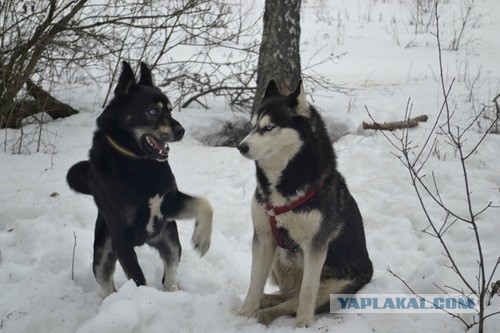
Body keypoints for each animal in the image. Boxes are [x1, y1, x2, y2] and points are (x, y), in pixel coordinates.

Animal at [67, 62, 213, 298]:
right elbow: (139, 279)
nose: (181, 130)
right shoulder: (122, 241)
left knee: (169, 276)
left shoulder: (169, 202)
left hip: (170, 239)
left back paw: (174, 293)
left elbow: (205, 203)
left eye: (170, 109)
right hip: (103, 253)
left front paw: (202, 238)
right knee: (105, 284)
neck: (139, 163)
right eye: (152, 111)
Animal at [236, 80, 374, 324]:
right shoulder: (263, 237)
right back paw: (264, 301)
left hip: (333, 285)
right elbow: (254, 282)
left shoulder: (315, 246)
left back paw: (267, 314)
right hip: (278, 257)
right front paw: (244, 314)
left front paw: (303, 324)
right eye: (251, 126)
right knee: (286, 294)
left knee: (293, 300)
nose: (241, 146)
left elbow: (307, 292)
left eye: (269, 127)